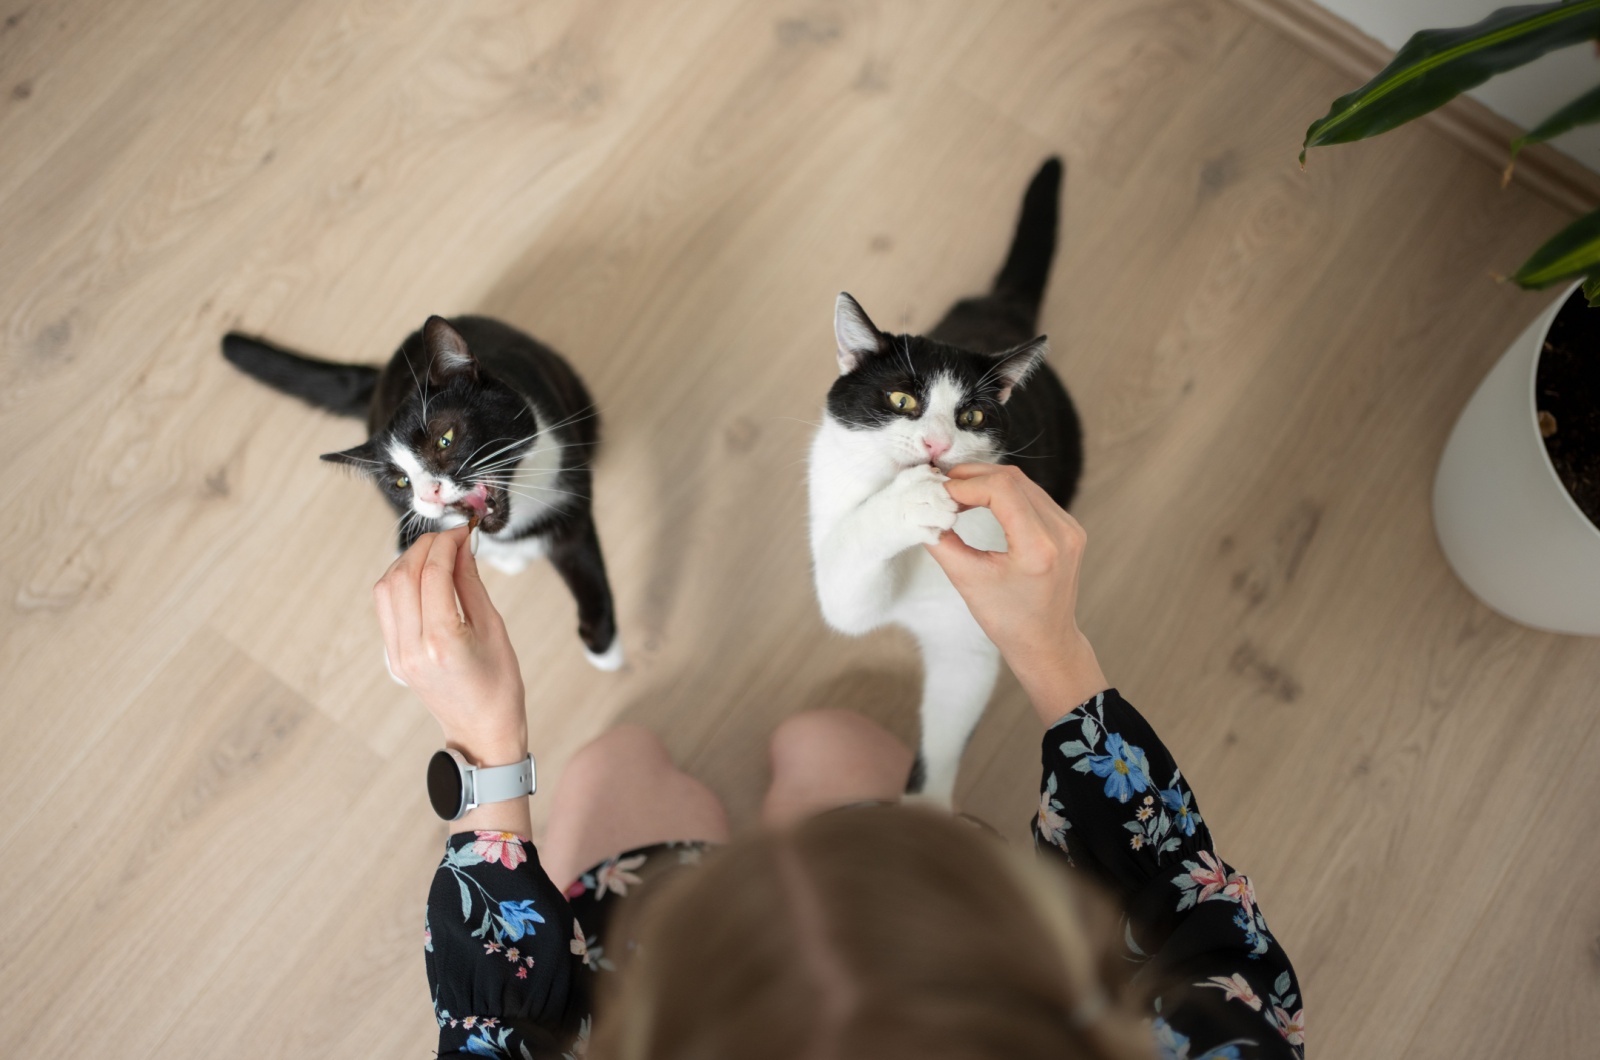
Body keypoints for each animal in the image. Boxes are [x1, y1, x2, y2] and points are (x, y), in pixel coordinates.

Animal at [222, 312, 620, 672]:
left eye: (445, 438)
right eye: (401, 482)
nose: (429, 493)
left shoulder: (566, 484)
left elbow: (585, 562)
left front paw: (604, 649)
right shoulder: (416, 520)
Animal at [806, 157, 1081, 807]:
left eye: (972, 417)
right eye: (902, 400)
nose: (936, 445)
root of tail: (996, 312)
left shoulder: (971, 642)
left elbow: (950, 723)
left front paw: (924, 815)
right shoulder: (836, 517)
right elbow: (848, 575)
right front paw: (907, 504)